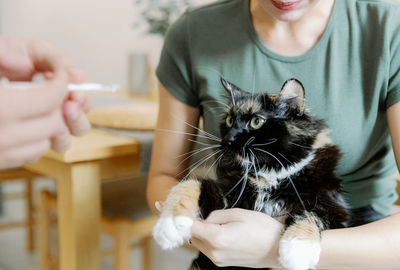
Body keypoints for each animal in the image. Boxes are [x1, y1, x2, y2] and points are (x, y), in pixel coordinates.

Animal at [153, 77, 350, 270]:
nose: (227, 140)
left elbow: (311, 212)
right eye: (229, 120)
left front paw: (297, 250)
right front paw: (170, 224)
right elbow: (191, 184)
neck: (271, 173)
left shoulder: (335, 208)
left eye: (256, 121)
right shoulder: (230, 191)